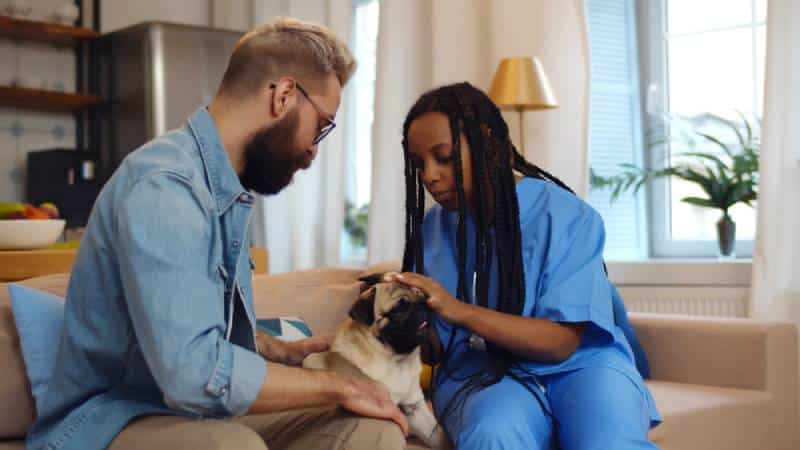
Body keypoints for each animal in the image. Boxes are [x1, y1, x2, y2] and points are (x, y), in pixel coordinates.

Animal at [302, 270, 450, 450]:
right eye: (399, 308)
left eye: (422, 297)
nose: (424, 305)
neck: (396, 361)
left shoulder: (416, 409)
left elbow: (438, 436)